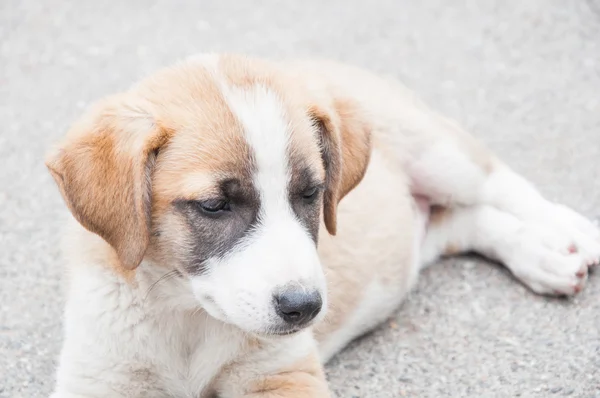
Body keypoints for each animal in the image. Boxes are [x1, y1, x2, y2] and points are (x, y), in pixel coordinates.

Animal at [47, 53, 600, 398]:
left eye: (310, 194)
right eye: (214, 206)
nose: (305, 307)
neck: (186, 316)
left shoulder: (281, 373)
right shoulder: (97, 378)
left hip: (435, 150)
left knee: (499, 183)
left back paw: (572, 232)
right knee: (468, 220)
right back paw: (543, 257)